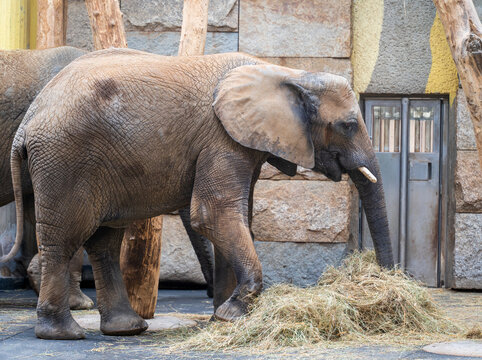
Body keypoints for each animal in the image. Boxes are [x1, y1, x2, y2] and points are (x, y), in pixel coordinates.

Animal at [3, 48, 394, 340]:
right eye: (348, 125)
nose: (388, 284)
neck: (287, 72)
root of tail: (31, 117)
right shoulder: (221, 138)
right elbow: (213, 214)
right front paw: (232, 315)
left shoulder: (240, 141)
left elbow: (238, 215)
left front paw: (223, 315)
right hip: (65, 159)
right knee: (65, 238)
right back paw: (63, 334)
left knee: (105, 241)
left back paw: (126, 329)